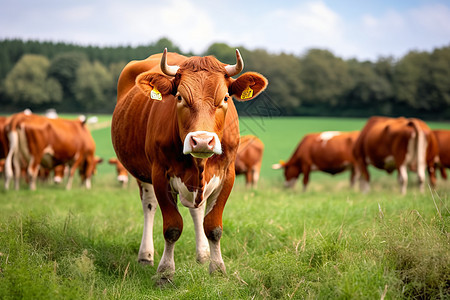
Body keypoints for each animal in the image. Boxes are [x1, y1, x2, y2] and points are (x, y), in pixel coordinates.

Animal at [111, 47, 268, 282]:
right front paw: (165, 272)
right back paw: (146, 255)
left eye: (225, 97)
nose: (202, 140)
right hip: (142, 173)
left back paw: (202, 254)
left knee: (197, 211)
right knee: (149, 205)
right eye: (179, 97)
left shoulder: (227, 174)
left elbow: (213, 226)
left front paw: (217, 268)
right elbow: (172, 227)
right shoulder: (160, 174)